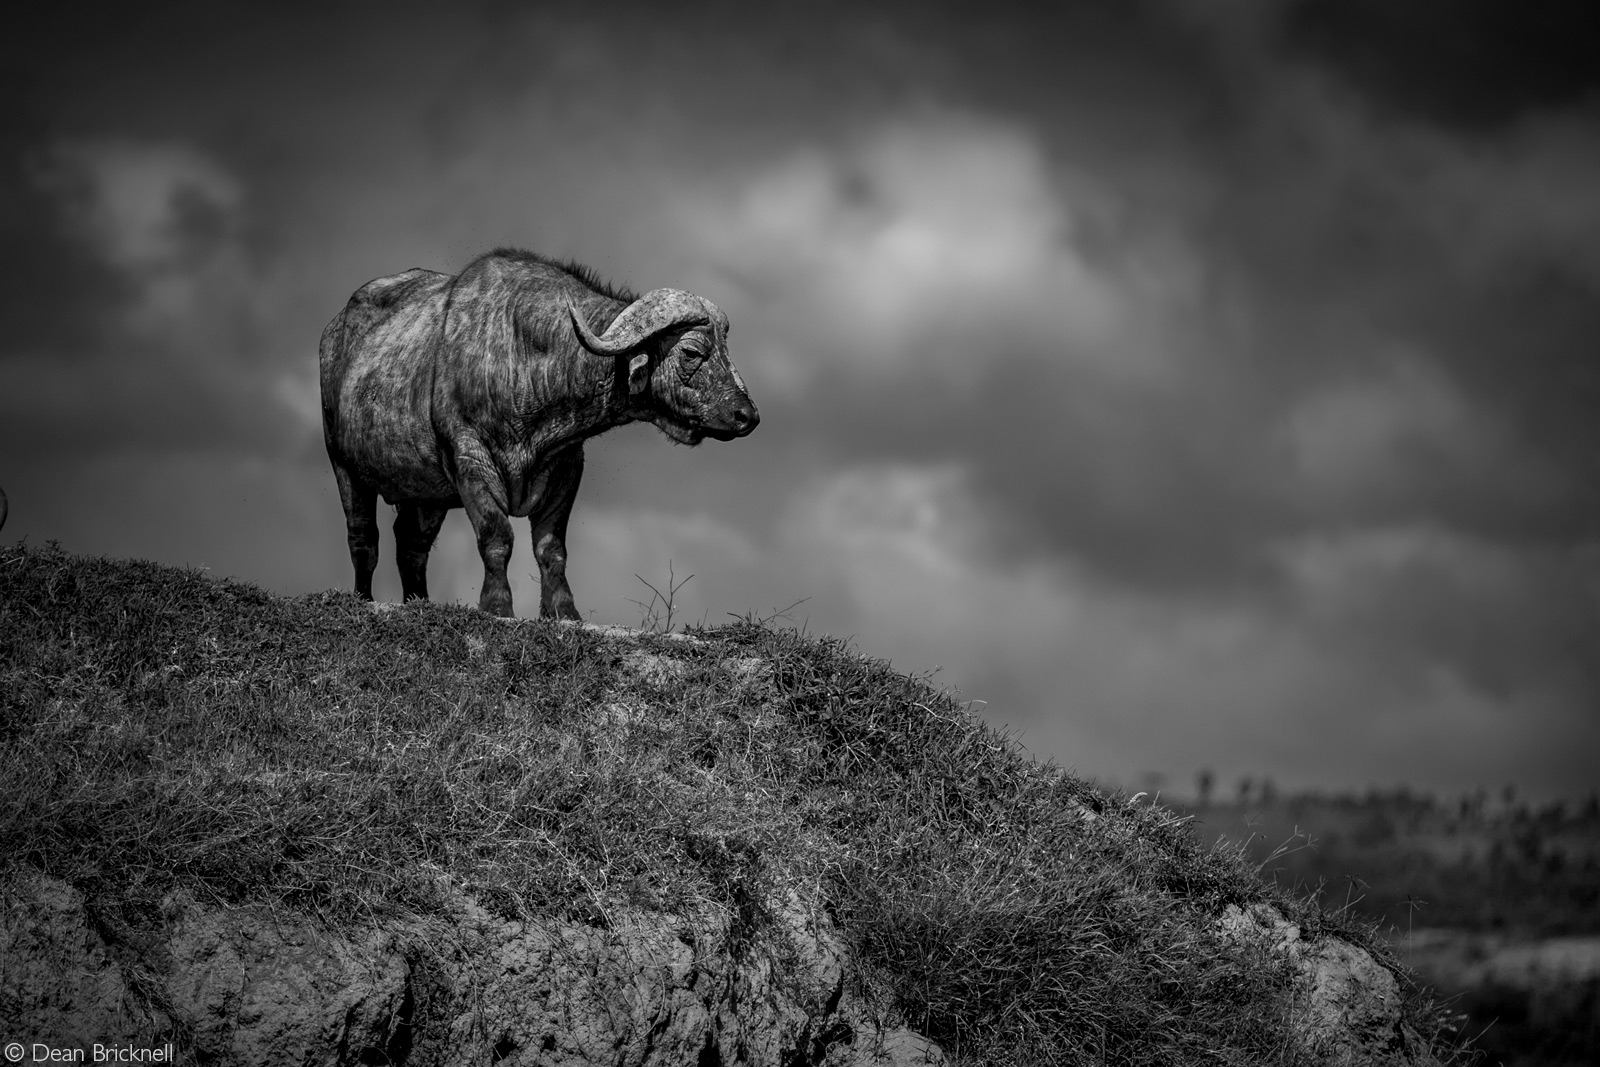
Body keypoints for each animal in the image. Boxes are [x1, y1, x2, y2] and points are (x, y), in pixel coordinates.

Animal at [321, 247, 758, 620]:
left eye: (727, 351)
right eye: (692, 352)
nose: (747, 415)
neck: (528, 360)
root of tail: (334, 331)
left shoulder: (566, 465)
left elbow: (552, 548)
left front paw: (563, 611)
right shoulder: (469, 457)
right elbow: (497, 536)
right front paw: (497, 605)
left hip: (426, 494)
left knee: (411, 543)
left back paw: (419, 603)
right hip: (344, 466)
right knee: (364, 538)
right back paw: (364, 598)